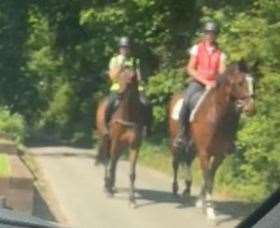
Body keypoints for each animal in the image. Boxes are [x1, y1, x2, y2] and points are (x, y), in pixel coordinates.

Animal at [96, 67, 144, 205]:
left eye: (129, 81)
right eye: (118, 78)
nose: (119, 94)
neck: (129, 115)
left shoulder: (134, 145)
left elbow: (132, 173)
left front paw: (132, 199)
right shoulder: (115, 141)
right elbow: (111, 166)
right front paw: (109, 190)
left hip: (122, 146)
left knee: (115, 161)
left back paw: (112, 185)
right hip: (106, 139)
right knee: (107, 160)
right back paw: (107, 185)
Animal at [168, 62, 256, 219]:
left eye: (253, 82)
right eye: (240, 82)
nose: (251, 108)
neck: (217, 117)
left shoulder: (219, 155)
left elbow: (210, 178)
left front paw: (201, 203)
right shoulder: (204, 153)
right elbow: (208, 179)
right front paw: (210, 211)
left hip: (192, 147)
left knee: (187, 161)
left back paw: (187, 188)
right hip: (176, 143)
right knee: (176, 163)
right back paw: (176, 188)